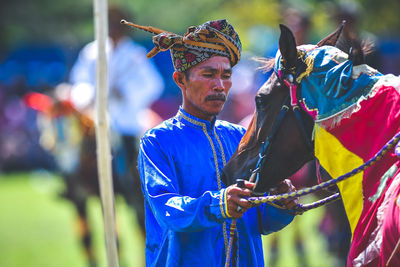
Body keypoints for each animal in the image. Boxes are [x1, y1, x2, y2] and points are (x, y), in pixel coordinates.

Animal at [23, 91, 145, 266]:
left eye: (71, 129)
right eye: (49, 129)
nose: (68, 171)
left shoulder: (107, 198)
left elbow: (113, 238)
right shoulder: (78, 199)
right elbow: (86, 238)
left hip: (136, 199)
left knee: (141, 229)